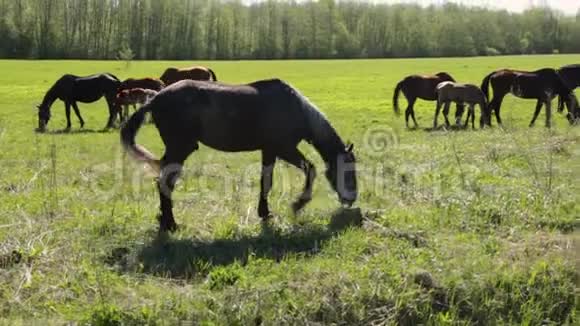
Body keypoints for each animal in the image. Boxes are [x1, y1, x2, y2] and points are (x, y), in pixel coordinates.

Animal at [121, 78, 358, 232]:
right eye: (348, 171)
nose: (351, 199)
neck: (294, 108)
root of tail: (155, 99)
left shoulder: (270, 151)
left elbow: (266, 182)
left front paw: (265, 213)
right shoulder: (284, 148)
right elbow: (310, 169)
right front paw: (298, 204)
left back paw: (163, 219)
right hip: (180, 149)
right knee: (165, 183)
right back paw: (171, 224)